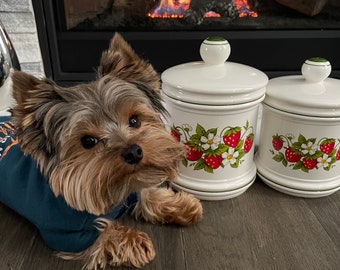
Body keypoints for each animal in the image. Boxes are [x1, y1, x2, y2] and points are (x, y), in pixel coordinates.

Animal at [0, 33, 202, 268]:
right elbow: (104, 232)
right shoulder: (64, 233)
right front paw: (134, 240)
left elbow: (146, 192)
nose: (134, 152)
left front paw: (180, 205)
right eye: (88, 141)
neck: (117, 189)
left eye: (134, 120)